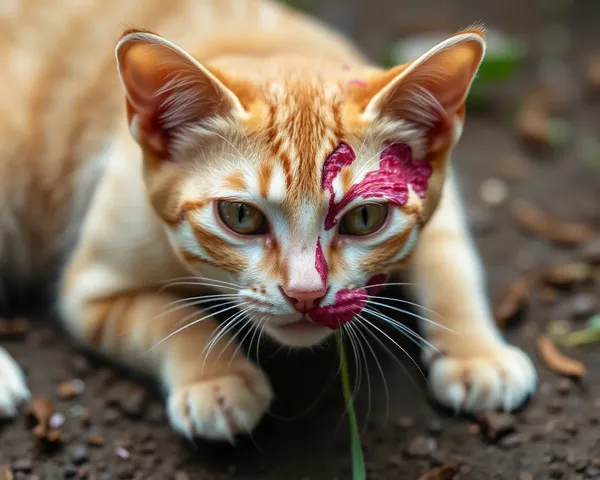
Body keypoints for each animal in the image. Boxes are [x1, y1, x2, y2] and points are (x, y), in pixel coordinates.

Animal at [0, 0, 536, 438]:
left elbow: (452, 260)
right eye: (240, 216)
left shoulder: (438, 194)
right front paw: (217, 379)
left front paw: (477, 352)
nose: (306, 293)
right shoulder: (88, 289)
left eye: (365, 217)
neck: (272, 47)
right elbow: (170, 316)